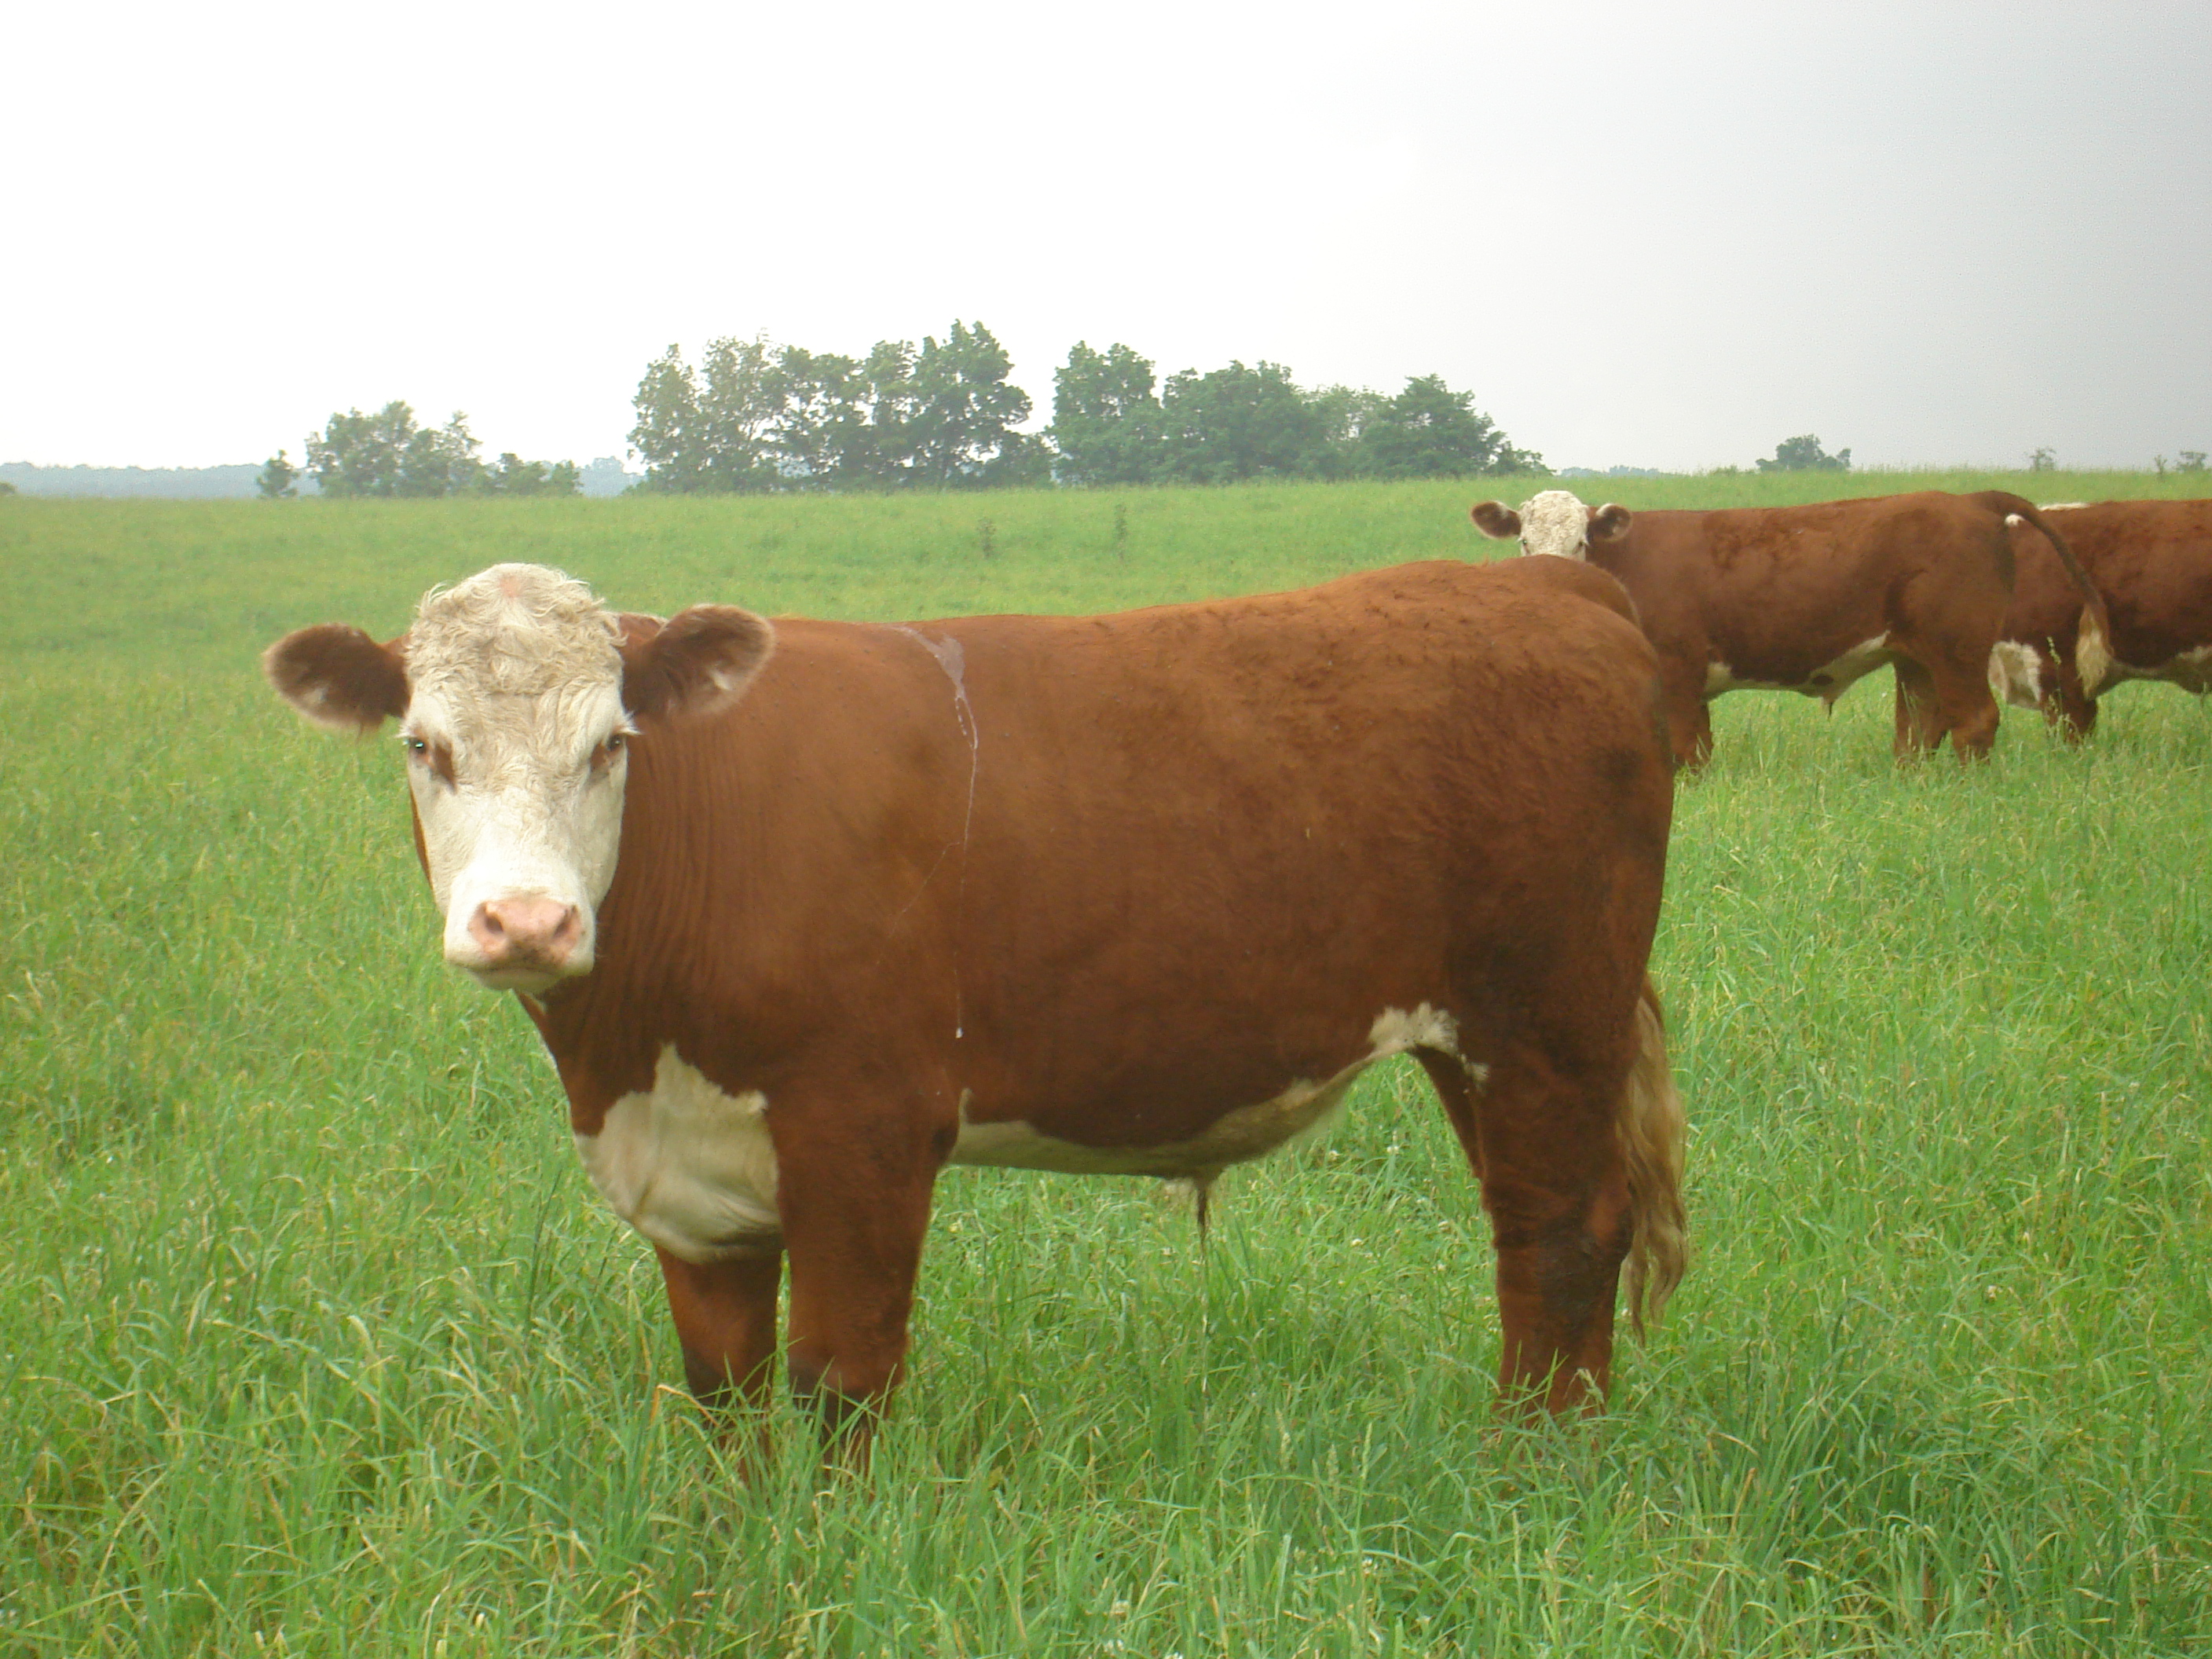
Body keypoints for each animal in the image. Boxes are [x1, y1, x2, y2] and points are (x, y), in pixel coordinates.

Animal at [1468, 480, 2105, 765]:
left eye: (1581, 540)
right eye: (1524, 541)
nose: (1550, 577)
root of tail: (1971, 499)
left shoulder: (1675, 669)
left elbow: (1683, 750)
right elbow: (1699, 748)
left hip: (1957, 646)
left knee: (1974, 722)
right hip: (1914, 657)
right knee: (1920, 727)